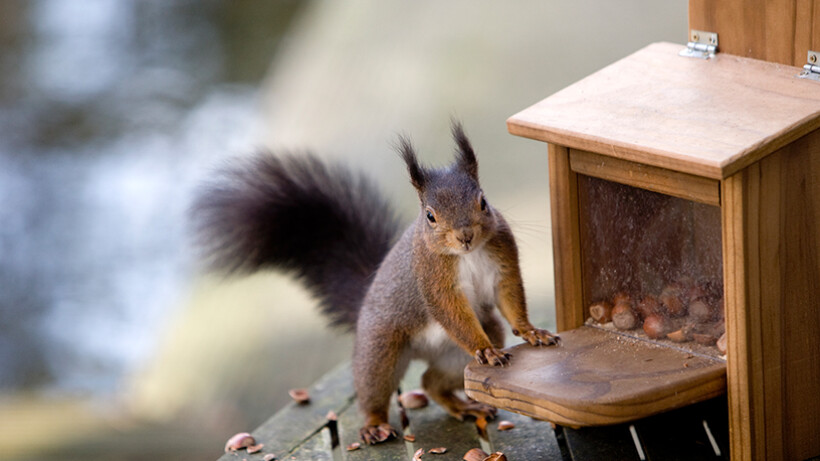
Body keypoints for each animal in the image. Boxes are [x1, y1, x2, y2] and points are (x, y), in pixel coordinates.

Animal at [194, 120, 556, 444]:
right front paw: (486, 350)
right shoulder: (432, 278)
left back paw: (464, 405)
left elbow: (509, 295)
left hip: (465, 346)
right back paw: (374, 425)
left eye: (483, 201)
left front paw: (531, 331)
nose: (465, 235)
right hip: (380, 350)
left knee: (431, 381)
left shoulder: (502, 259)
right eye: (430, 215)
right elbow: (450, 310)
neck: (468, 254)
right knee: (375, 388)